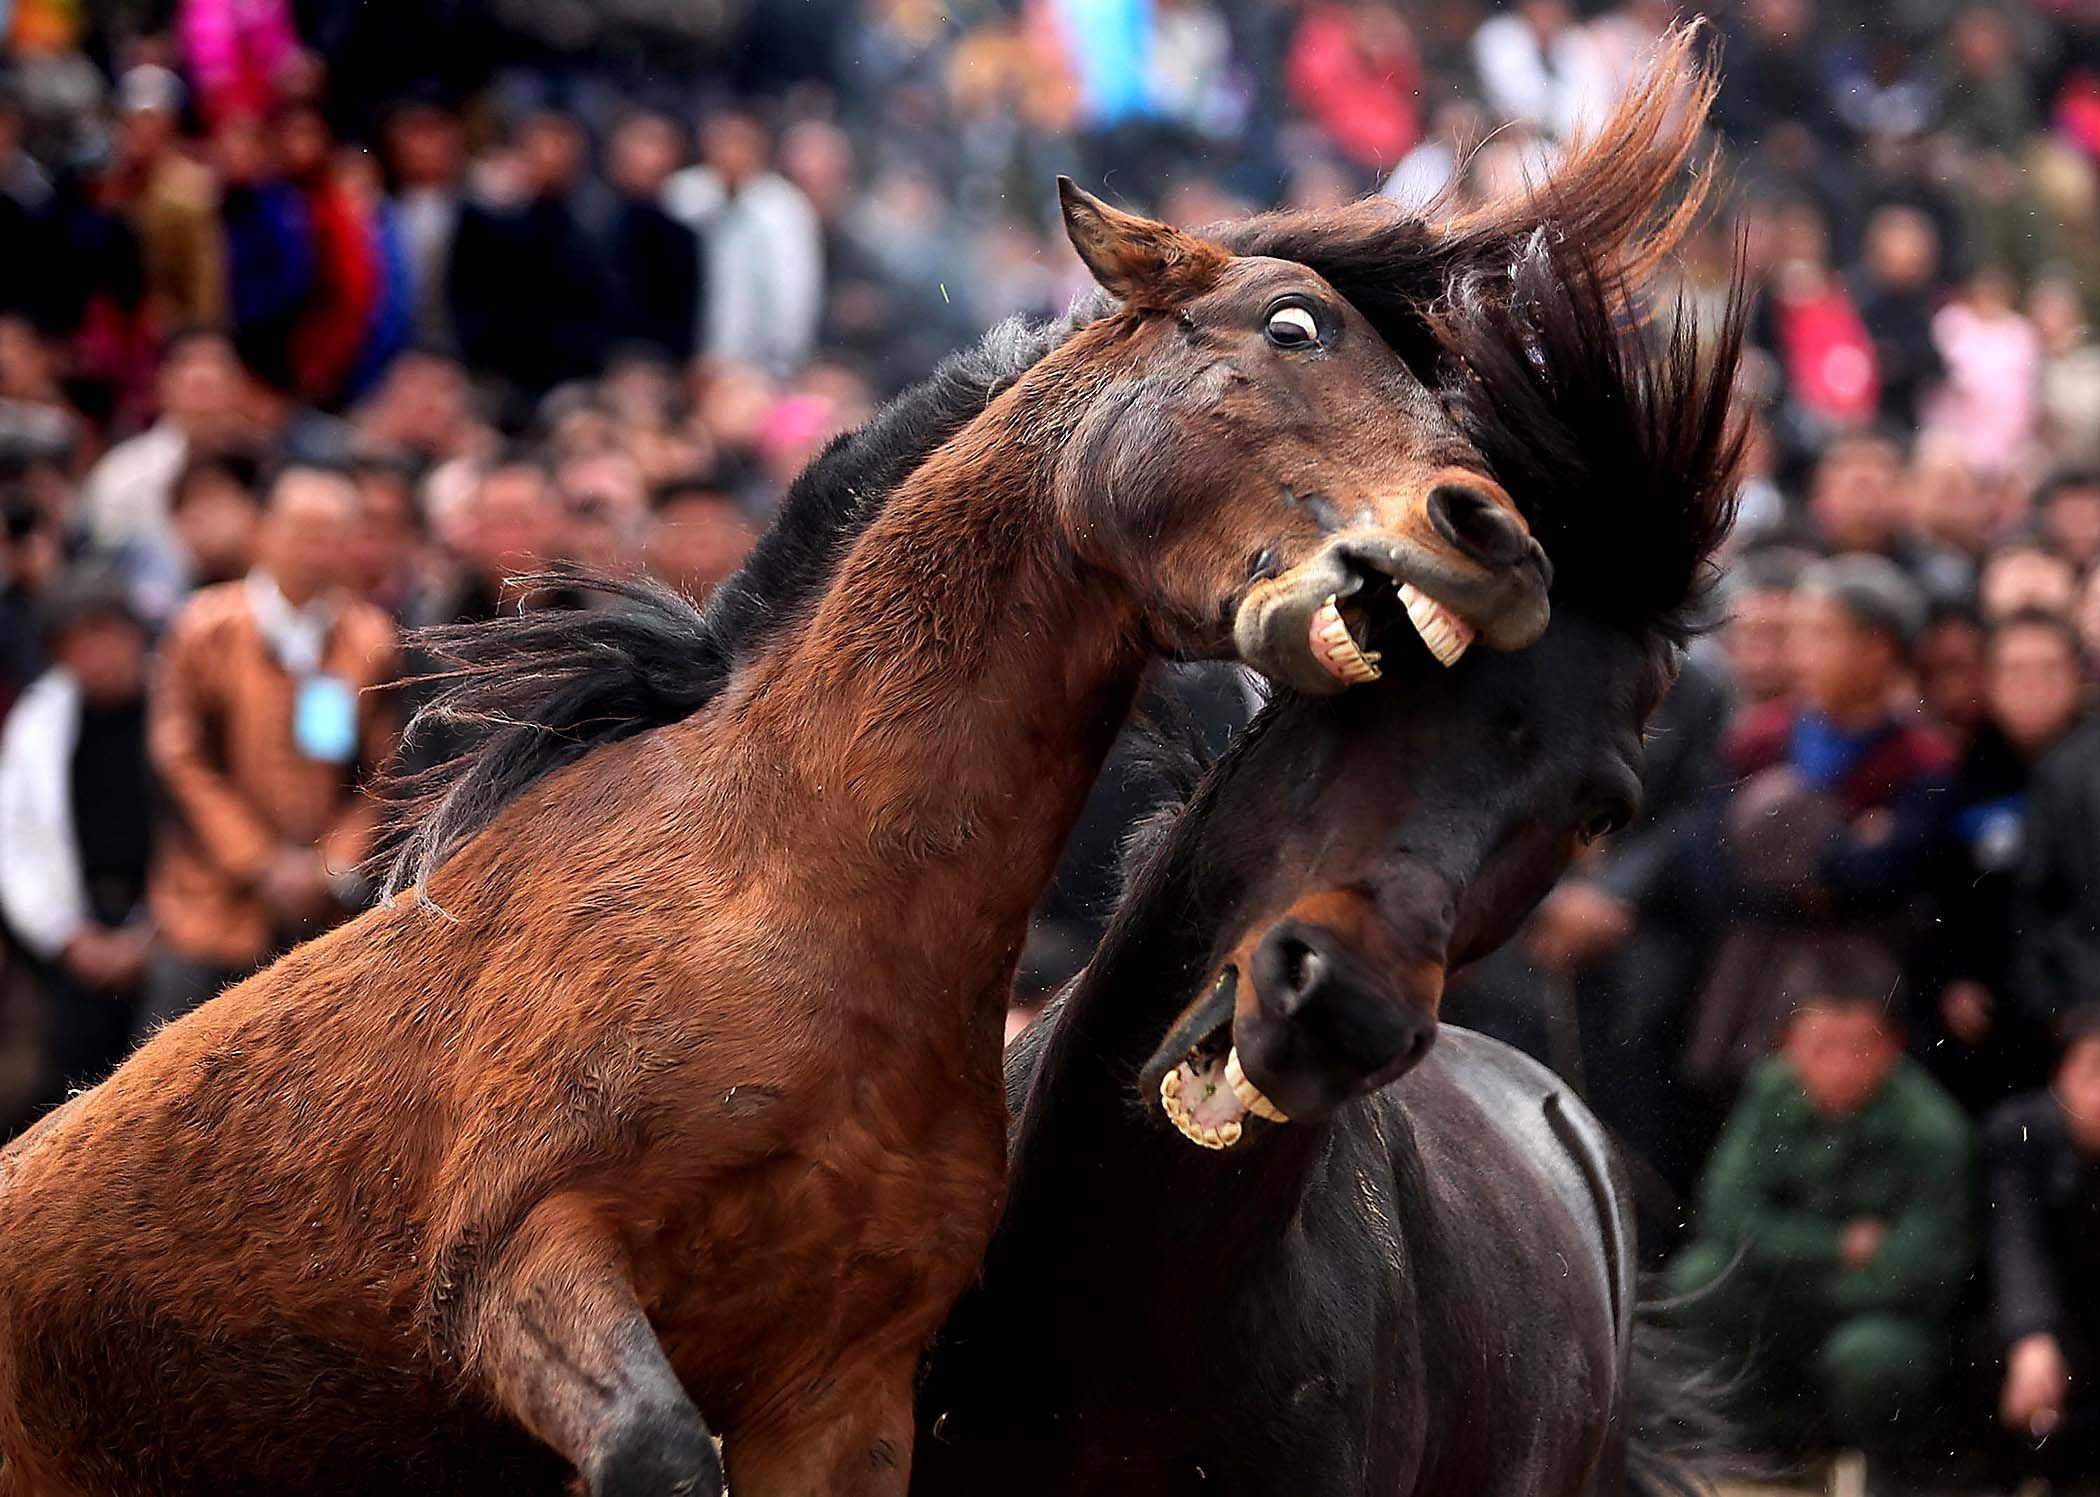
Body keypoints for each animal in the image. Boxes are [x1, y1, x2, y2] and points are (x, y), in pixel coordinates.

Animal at [0, 183, 1562, 1486]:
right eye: (1292, 324)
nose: (1496, 536)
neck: (800, 893)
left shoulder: (841, 1385)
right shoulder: (518, 1265)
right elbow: (655, 1453)